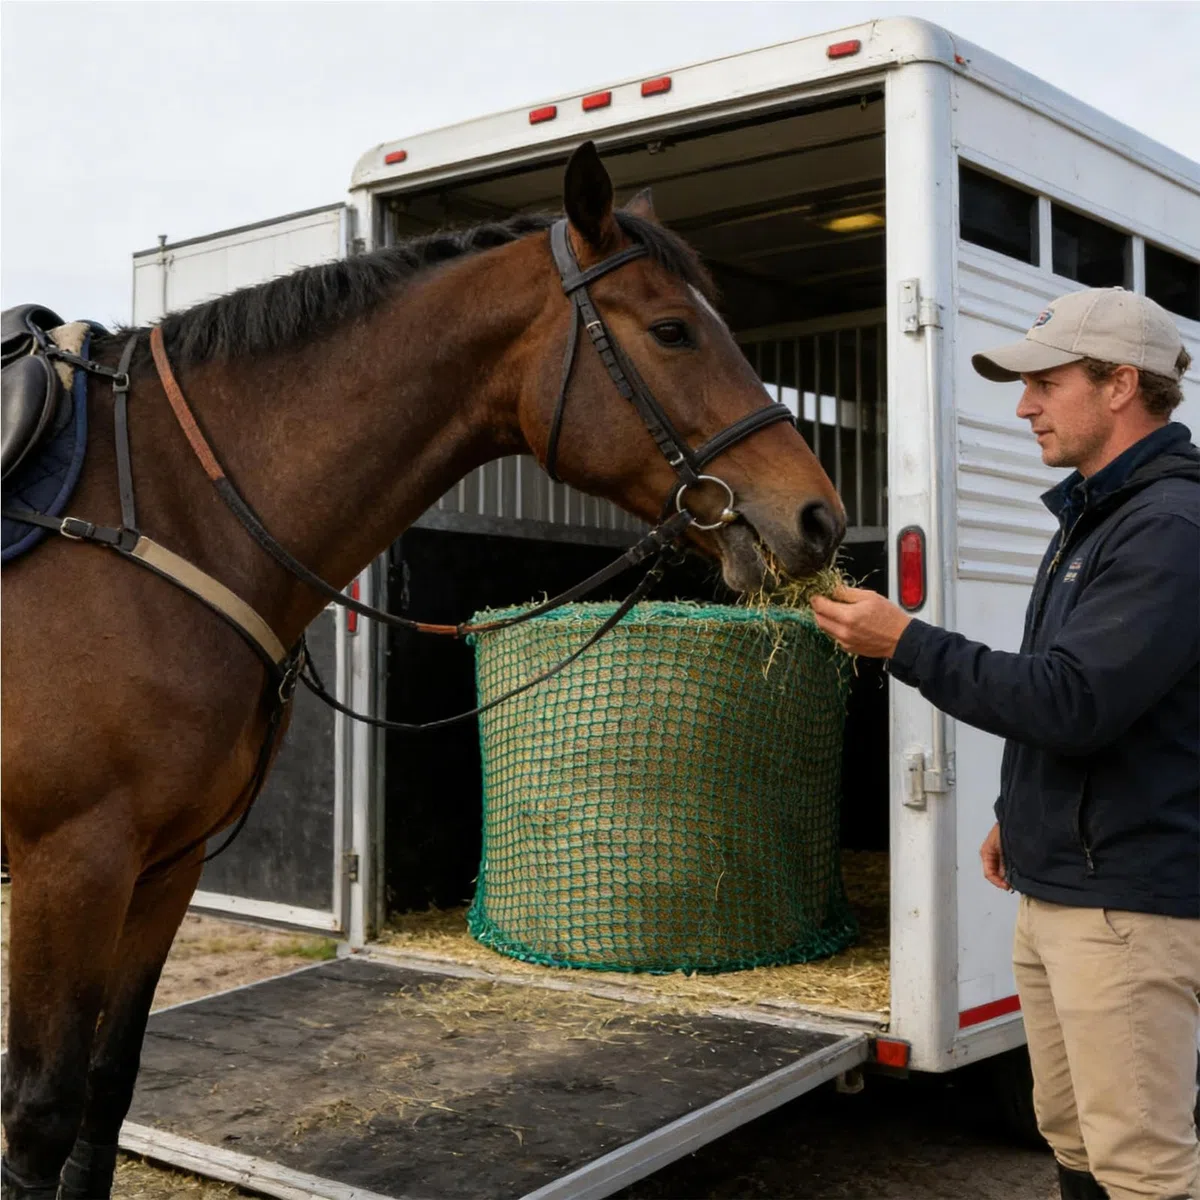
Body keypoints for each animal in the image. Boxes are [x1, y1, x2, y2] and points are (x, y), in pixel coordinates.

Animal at [0, 141, 844, 1199]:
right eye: (672, 330)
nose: (819, 518)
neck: (157, 508)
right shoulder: (69, 862)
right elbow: (39, 1114)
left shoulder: (165, 863)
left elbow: (106, 1092)